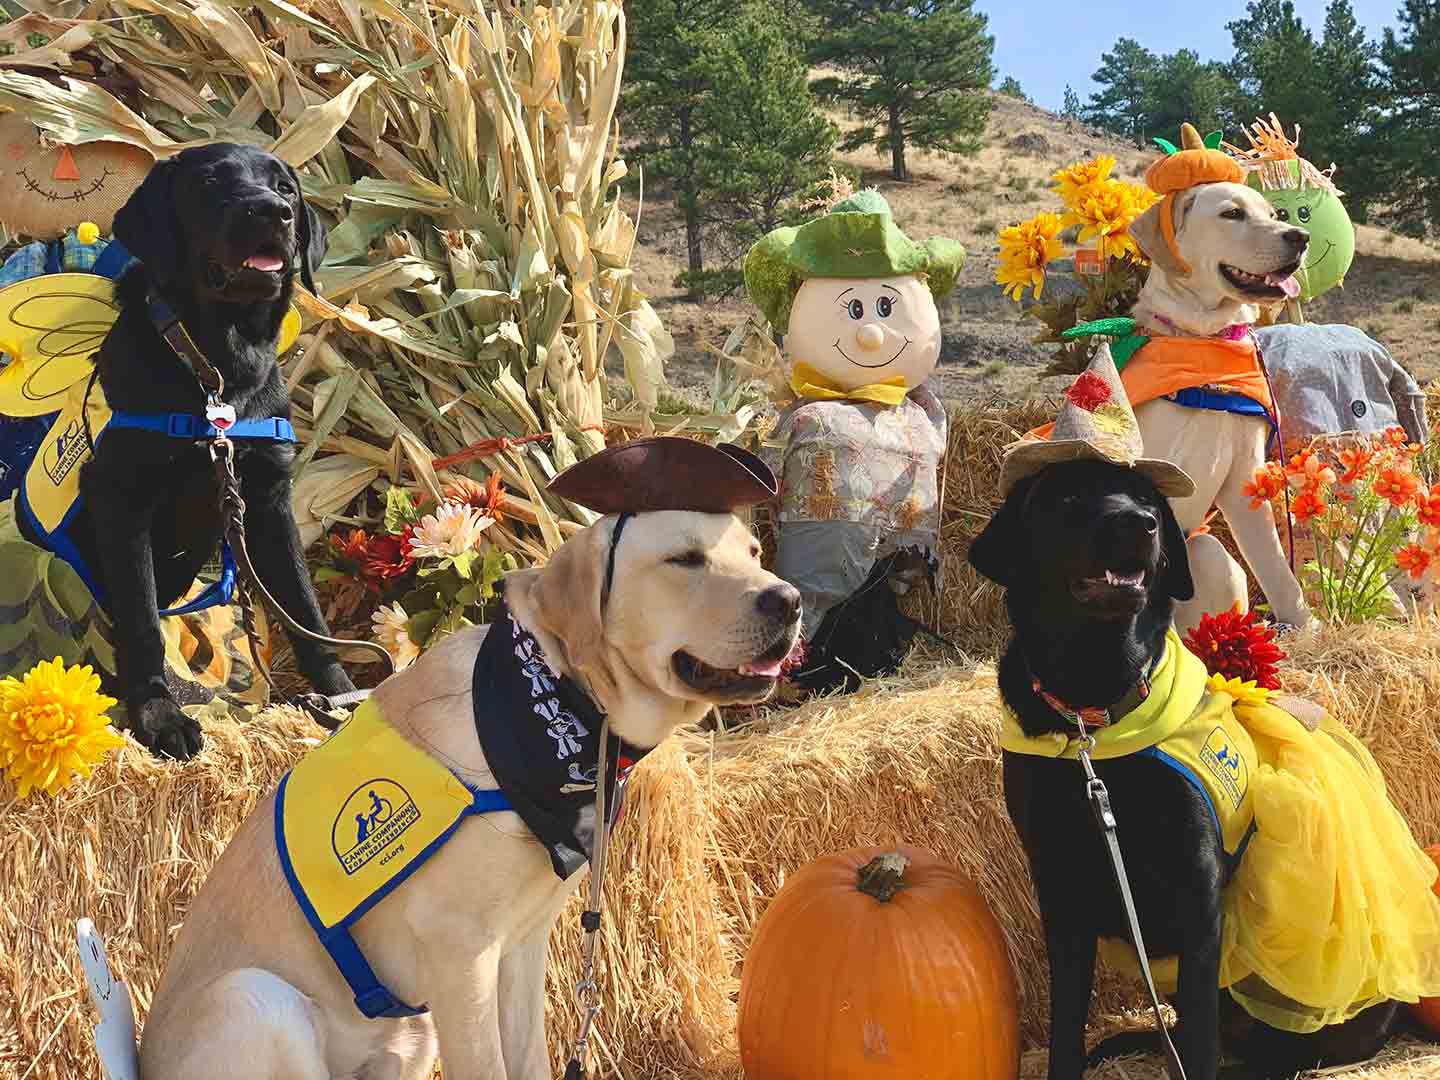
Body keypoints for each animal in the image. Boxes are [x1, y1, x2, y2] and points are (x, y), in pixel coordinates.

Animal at [55, 144, 354, 760]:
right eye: (211, 183)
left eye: (285, 188)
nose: (271, 212)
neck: (218, 370)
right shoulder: (121, 499)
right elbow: (142, 616)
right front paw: (159, 715)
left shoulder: (266, 497)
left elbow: (303, 604)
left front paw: (339, 696)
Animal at [105, 440, 800, 1080]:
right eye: (684, 559)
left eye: (753, 553)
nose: (788, 600)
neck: (556, 705)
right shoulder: (459, 952)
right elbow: (488, 1067)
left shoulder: (521, 947)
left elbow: (530, 1062)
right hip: (258, 998)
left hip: (411, 1037)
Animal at [967, 457, 1405, 1080]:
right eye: (1068, 494)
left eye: (1147, 498)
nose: (1141, 523)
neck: (1095, 710)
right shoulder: (1061, 888)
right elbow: (1066, 1028)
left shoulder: (1197, 894)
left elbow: (1197, 1037)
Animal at [1128, 180, 1313, 633]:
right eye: (1232, 214)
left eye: (1273, 213)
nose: (1301, 237)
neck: (1205, 343)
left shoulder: (1245, 476)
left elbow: (1279, 571)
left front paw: (1306, 629)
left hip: (1209, 552)